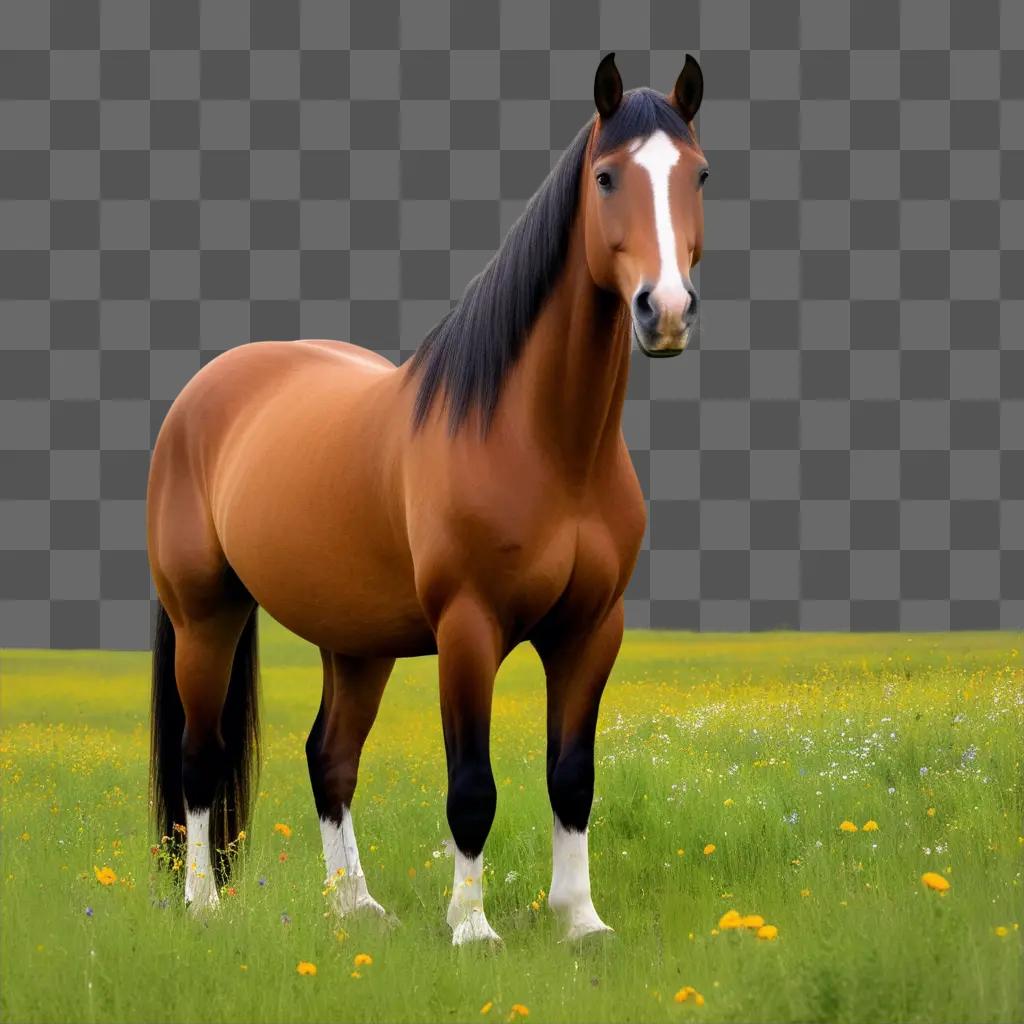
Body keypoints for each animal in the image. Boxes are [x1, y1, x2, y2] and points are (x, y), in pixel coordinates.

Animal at [148, 49, 704, 942]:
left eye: (700, 173)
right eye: (608, 176)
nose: (668, 310)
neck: (546, 444)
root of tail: (203, 393)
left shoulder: (592, 631)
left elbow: (572, 777)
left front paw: (579, 919)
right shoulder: (467, 630)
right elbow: (471, 787)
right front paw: (472, 928)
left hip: (356, 641)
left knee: (330, 757)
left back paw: (354, 905)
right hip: (207, 616)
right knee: (201, 761)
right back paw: (203, 905)